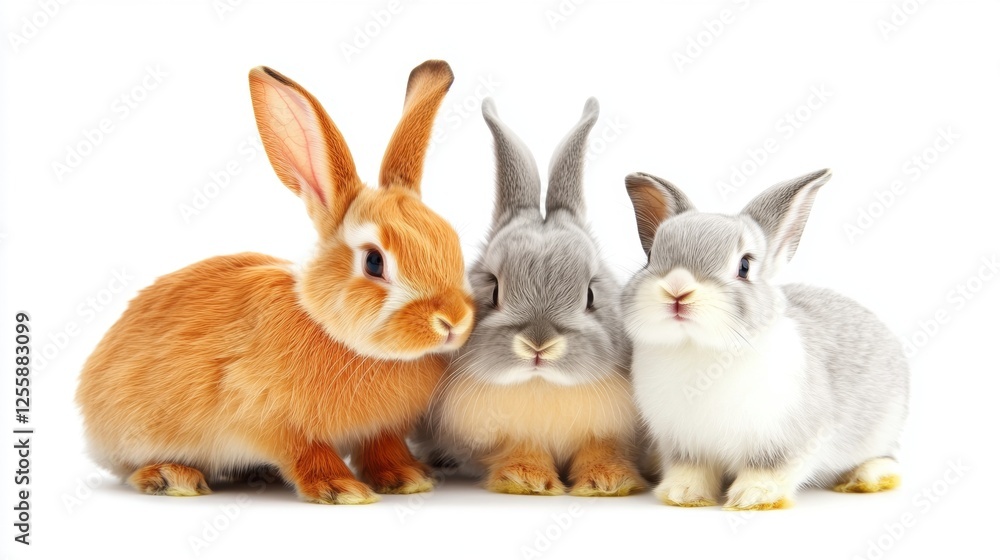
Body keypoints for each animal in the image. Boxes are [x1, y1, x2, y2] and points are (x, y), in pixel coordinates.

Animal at [75, 60, 474, 505]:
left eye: (452, 242)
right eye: (374, 262)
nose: (452, 320)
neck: (335, 334)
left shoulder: (380, 432)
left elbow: (383, 449)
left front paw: (407, 478)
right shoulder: (270, 420)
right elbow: (306, 453)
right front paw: (341, 489)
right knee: (132, 467)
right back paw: (171, 477)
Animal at [416, 97, 645, 497]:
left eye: (590, 294)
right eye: (493, 288)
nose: (538, 345)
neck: (542, 386)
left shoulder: (609, 431)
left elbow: (601, 449)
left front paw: (608, 482)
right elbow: (522, 448)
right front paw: (527, 480)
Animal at [621, 169, 909, 509]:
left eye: (744, 266)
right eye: (651, 257)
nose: (677, 289)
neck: (698, 348)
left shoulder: (787, 440)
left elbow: (770, 468)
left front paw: (753, 498)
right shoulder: (685, 444)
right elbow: (691, 469)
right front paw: (682, 494)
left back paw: (868, 478)